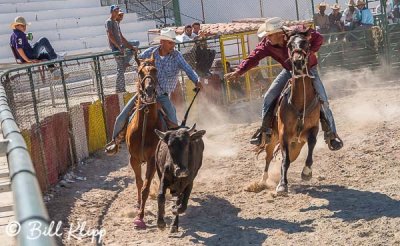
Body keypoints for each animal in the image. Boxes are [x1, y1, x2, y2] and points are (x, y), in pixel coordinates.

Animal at [256, 26, 322, 195]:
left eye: (305, 43)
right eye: (290, 45)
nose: (298, 61)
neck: (300, 103)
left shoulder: (313, 129)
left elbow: (311, 146)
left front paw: (306, 172)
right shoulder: (283, 134)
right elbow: (284, 161)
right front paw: (282, 185)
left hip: (297, 144)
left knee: (291, 156)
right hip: (273, 137)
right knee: (268, 157)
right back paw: (263, 180)